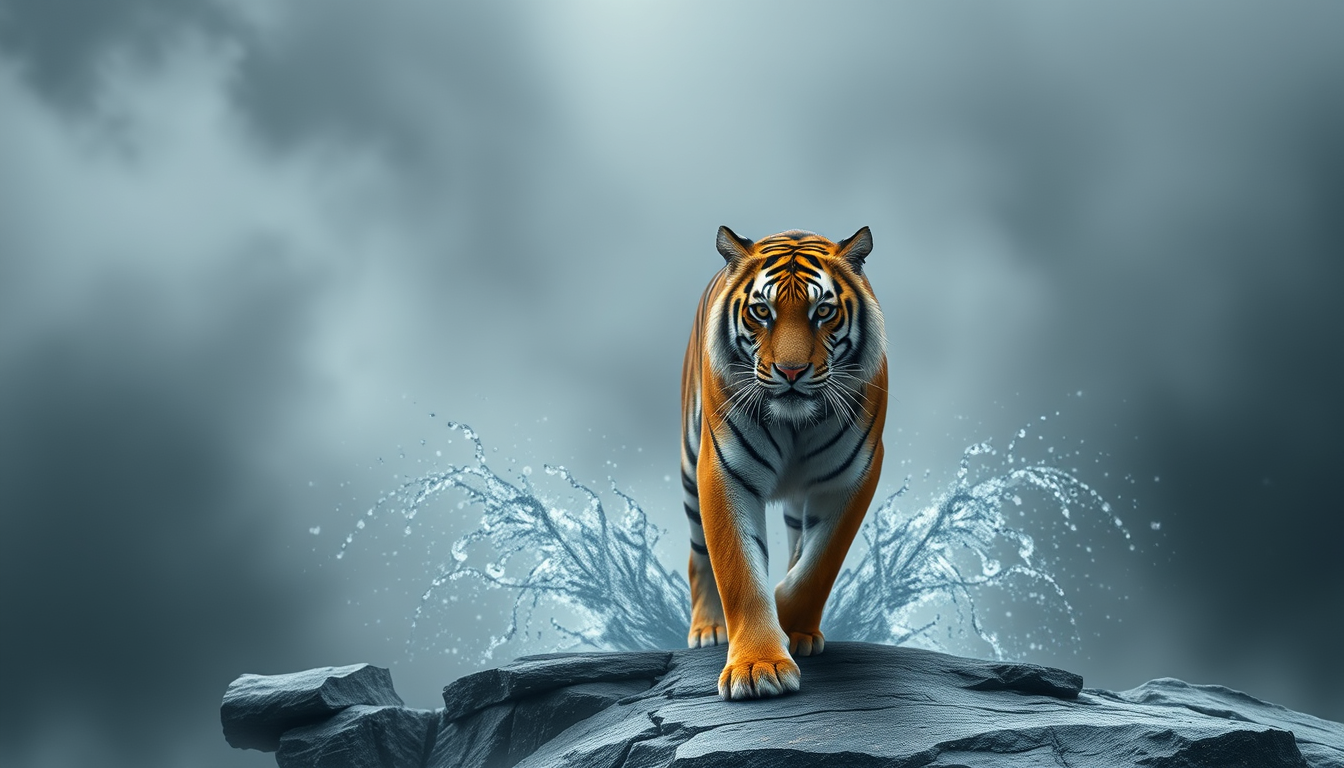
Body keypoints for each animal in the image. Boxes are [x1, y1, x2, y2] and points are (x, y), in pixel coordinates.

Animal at [681, 226, 888, 700]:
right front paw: (758, 666)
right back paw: (708, 628)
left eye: (823, 311)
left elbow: (818, 565)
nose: (791, 371)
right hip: (689, 466)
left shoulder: (853, 476)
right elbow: (739, 570)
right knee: (698, 555)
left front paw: (792, 626)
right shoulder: (723, 470)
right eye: (762, 311)